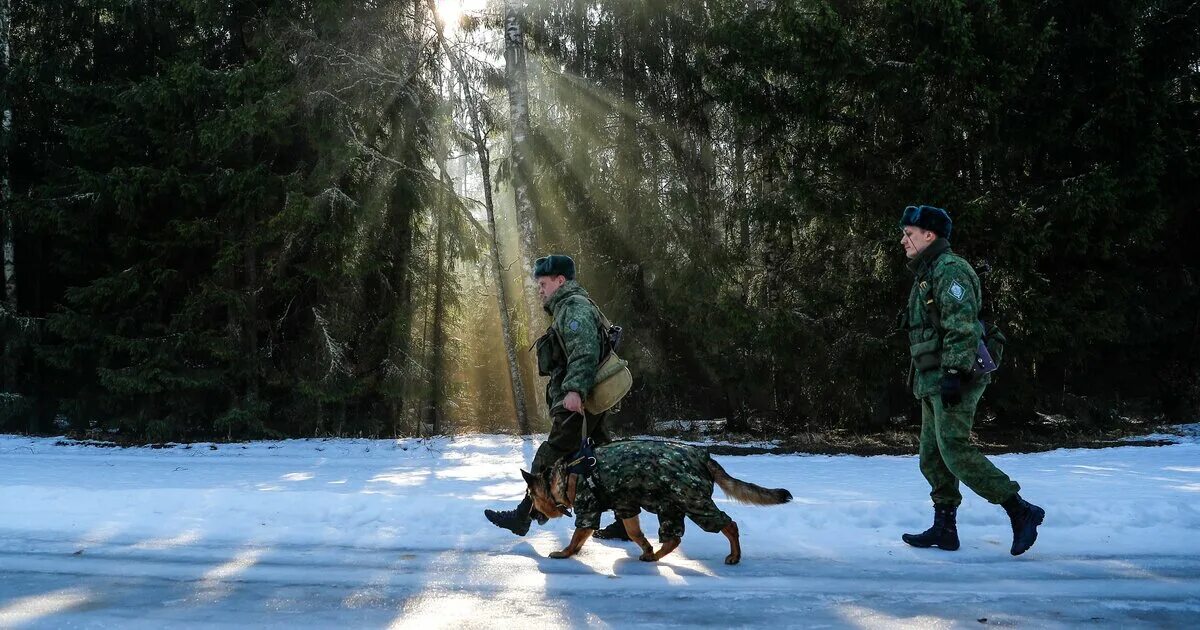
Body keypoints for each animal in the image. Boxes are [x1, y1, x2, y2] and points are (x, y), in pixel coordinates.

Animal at [520, 436, 792, 564]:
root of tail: (703, 456)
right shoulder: (626, 507)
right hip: (670, 506)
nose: (529, 515)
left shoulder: (588, 510)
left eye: (531, 497)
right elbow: (634, 533)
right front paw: (647, 548)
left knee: (728, 524)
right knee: (673, 537)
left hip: (694, 501)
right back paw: (655, 555)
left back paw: (734, 555)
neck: (564, 476)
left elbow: (577, 537)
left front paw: (565, 553)